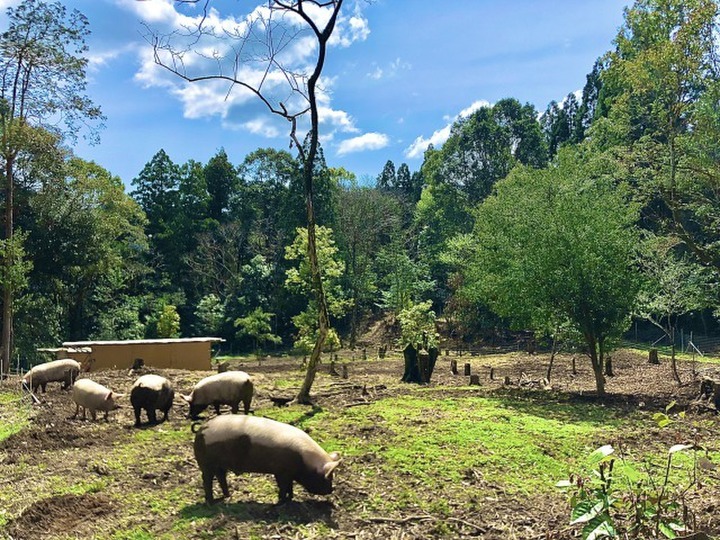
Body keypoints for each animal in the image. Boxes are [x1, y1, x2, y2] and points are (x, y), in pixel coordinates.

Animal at [193, 416, 342, 504]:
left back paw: (228, 496)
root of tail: (201, 429)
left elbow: (289, 486)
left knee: (221, 477)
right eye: (327, 477)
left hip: (220, 465)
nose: (332, 489)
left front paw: (290, 498)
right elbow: (283, 486)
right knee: (206, 480)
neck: (304, 460)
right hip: (206, 463)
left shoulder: (287, 473)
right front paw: (281, 501)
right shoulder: (281, 472)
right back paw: (211, 501)